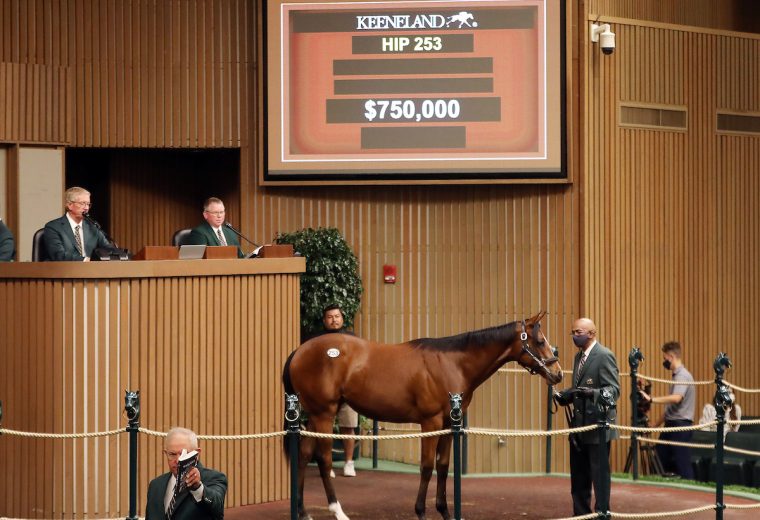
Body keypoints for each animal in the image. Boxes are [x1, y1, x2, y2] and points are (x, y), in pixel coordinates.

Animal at [282, 310, 560, 516]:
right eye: (539, 341)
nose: (557, 374)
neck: (452, 364)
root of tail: (300, 350)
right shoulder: (431, 423)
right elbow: (427, 467)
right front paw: (420, 511)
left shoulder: (449, 424)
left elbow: (443, 466)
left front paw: (444, 511)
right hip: (324, 414)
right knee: (323, 459)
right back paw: (337, 511)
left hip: (314, 415)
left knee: (303, 455)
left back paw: (303, 511)